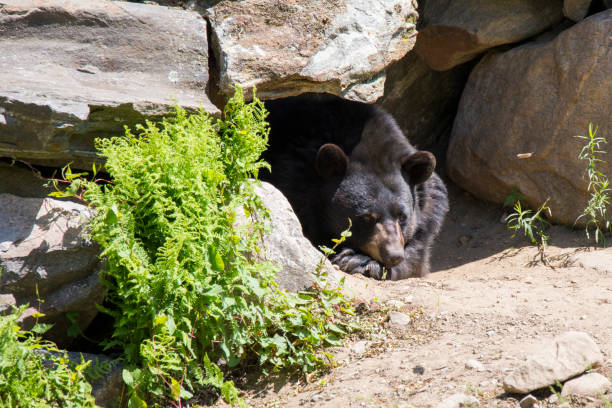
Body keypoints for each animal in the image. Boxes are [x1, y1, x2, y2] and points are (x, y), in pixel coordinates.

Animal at [260, 93, 448, 278]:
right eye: (366, 218)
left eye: (402, 216)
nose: (394, 255)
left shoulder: (429, 209)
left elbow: (417, 253)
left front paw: (360, 261)